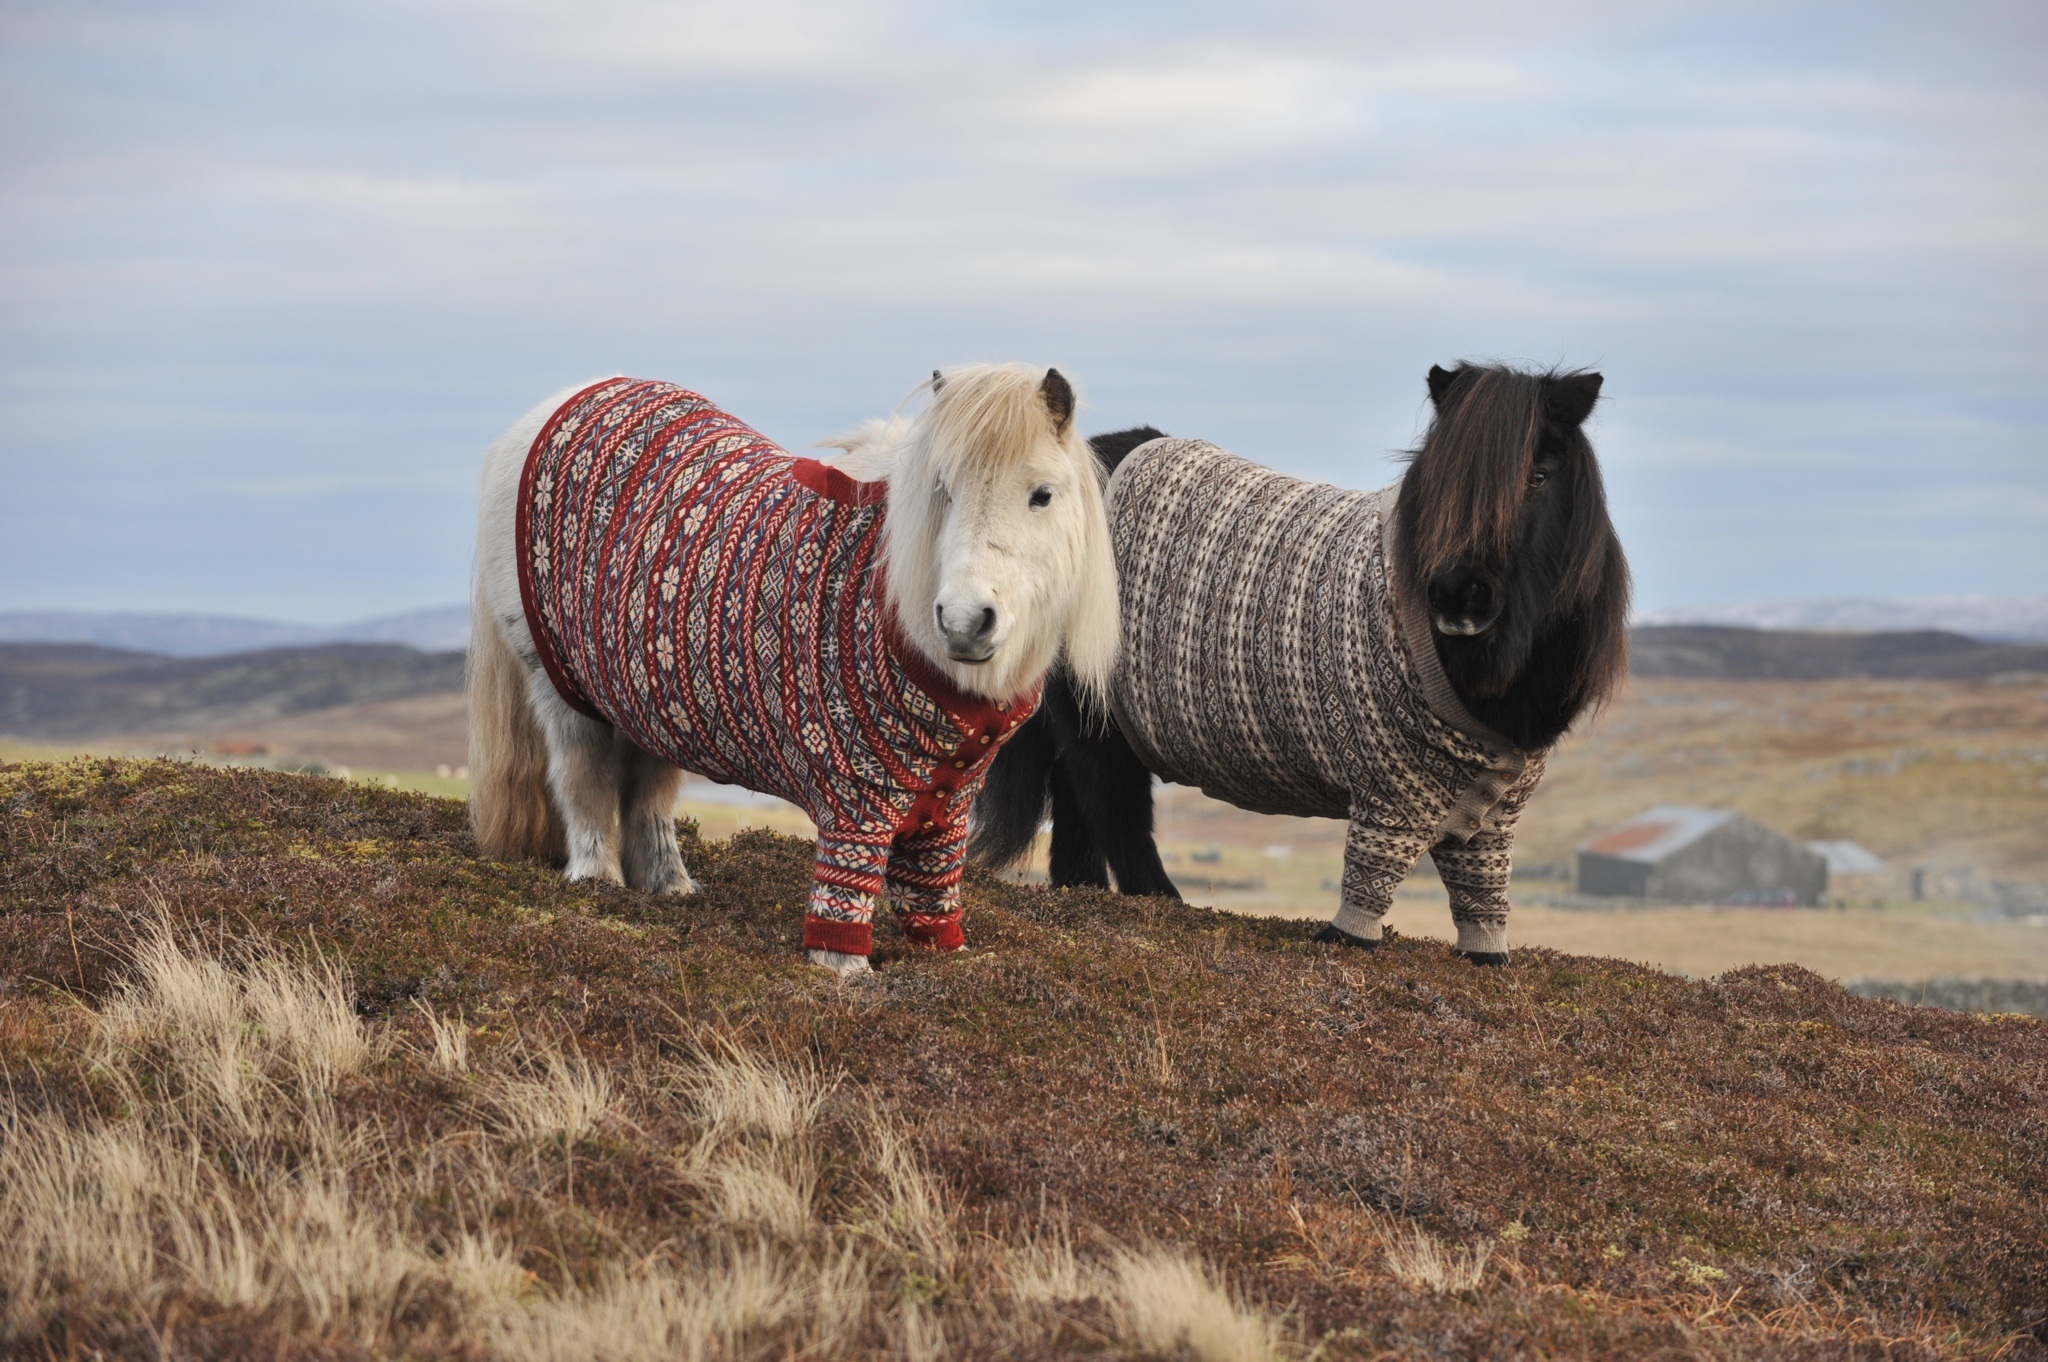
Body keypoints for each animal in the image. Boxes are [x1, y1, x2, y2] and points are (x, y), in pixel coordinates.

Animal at [468, 366, 1122, 970]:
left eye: (1042, 494)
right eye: (943, 488)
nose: (964, 621)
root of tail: (562, 403)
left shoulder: (947, 810)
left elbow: (932, 899)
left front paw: (946, 958)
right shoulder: (854, 803)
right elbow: (845, 902)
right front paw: (846, 973)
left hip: (648, 700)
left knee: (648, 796)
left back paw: (670, 888)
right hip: (561, 690)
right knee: (584, 781)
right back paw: (596, 882)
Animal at [970, 360, 1630, 954]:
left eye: (1539, 475)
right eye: (1440, 478)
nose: (1457, 597)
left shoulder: (1492, 820)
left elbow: (1481, 895)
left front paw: (1485, 954)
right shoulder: (1387, 794)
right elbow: (1370, 881)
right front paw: (1347, 941)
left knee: (1079, 804)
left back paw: (1082, 893)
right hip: (1097, 714)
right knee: (1112, 805)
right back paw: (1162, 901)